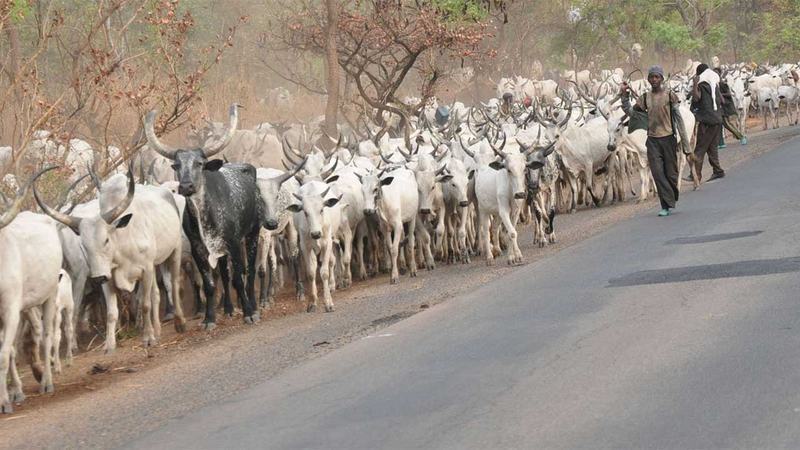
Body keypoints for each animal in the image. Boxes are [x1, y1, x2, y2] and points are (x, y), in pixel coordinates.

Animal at [145, 104, 265, 329]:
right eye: (176, 165)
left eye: (200, 163)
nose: (186, 186)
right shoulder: (199, 249)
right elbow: (209, 284)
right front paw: (209, 318)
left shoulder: (234, 243)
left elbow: (238, 279)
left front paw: (248, 312)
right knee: (225, 275)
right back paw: (227, 308)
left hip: (252, 234)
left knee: (250, 271)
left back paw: (253, 305)